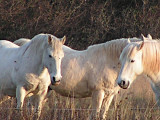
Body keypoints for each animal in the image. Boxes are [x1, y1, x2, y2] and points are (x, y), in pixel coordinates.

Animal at [14, 36, 146, 119]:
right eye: (132, 59)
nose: (124, 83)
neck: (108, 61)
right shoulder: (98, 93)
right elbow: (95, 115)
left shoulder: (109, 95)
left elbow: (102, 115)